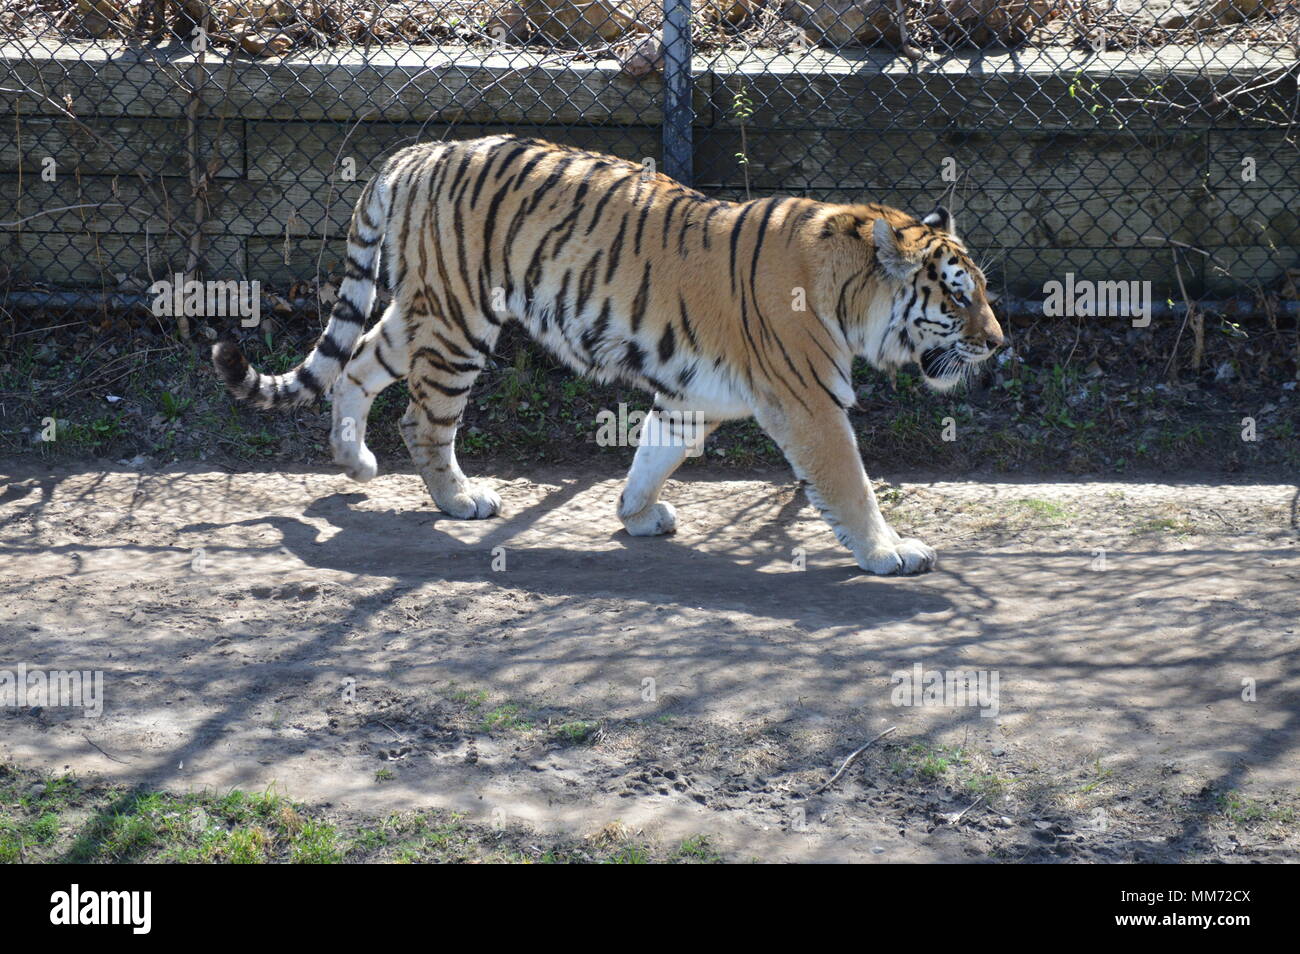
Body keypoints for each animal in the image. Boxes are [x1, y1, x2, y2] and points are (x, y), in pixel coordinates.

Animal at [213, 133, 1003, 574]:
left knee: (355, 363)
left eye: (985, 292)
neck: (850, 295)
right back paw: (460, 499)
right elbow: (850, 485)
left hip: (425, 310)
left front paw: (635, 515)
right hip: (460, 322)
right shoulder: (811, 404)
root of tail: (421, 150)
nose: (999, 344)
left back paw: (354, 462)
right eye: (959, 297)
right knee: (422, 420)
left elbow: (654, 453)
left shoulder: (692, 394)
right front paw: (890, 553)